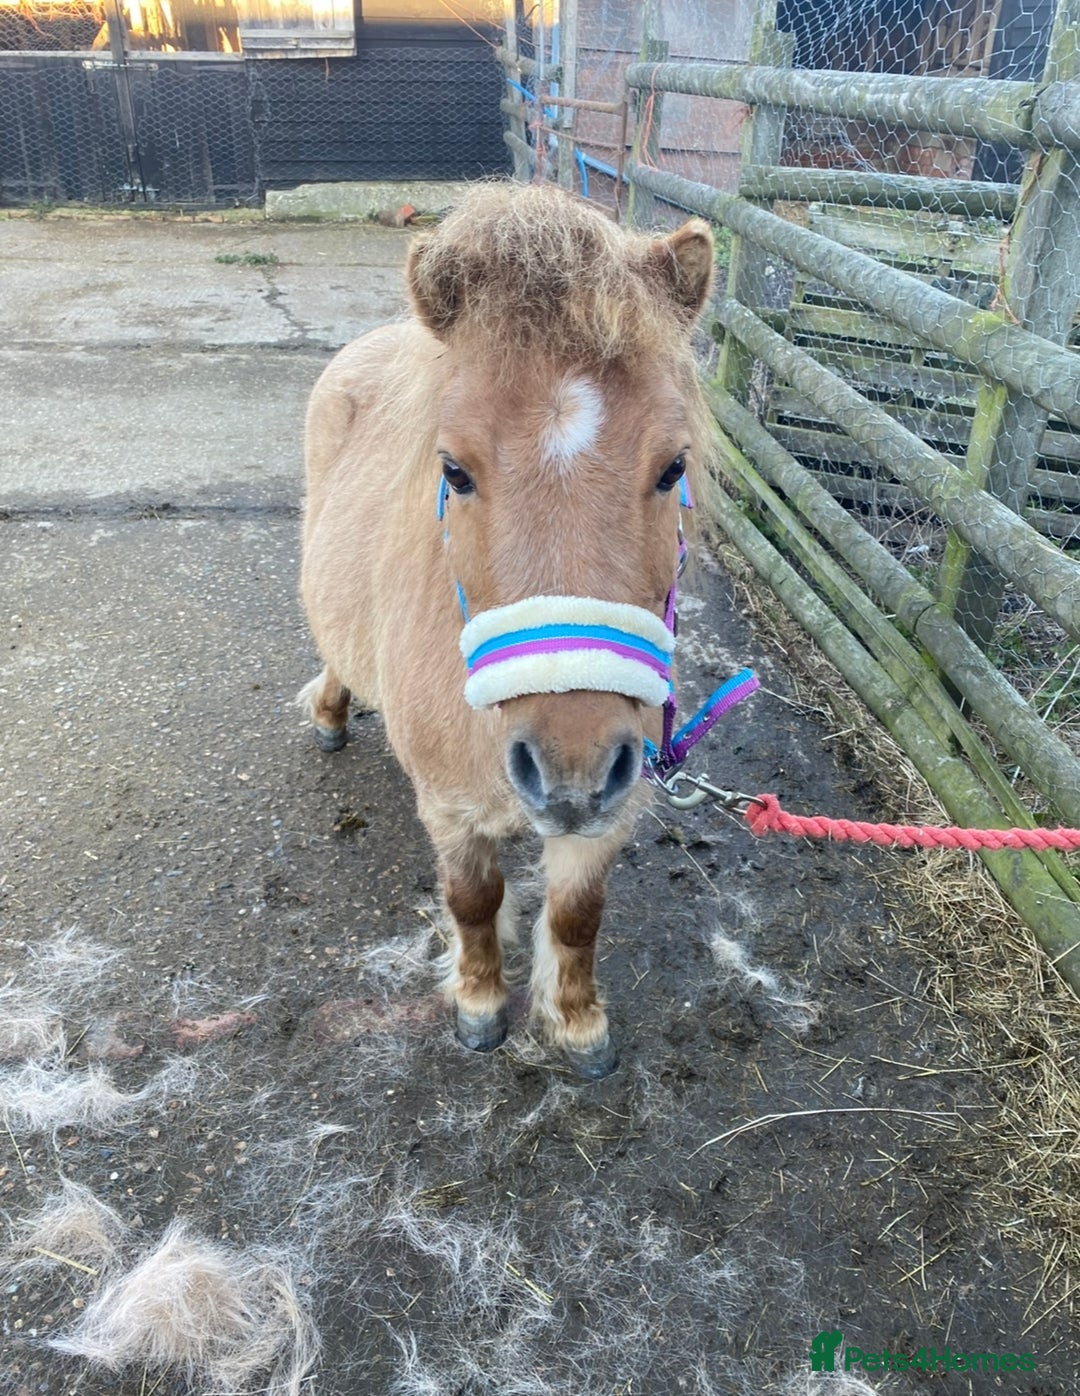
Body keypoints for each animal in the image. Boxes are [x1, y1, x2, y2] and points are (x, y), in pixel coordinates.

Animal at [299, 182, 714, 1078]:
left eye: (673, 467)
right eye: (454, 471)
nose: (571, 773)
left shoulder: (608, 815)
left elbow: (577, 914)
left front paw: (575, 1020)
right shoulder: (452, 809)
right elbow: (472, 898)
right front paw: (482, 1002)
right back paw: (331, 713)